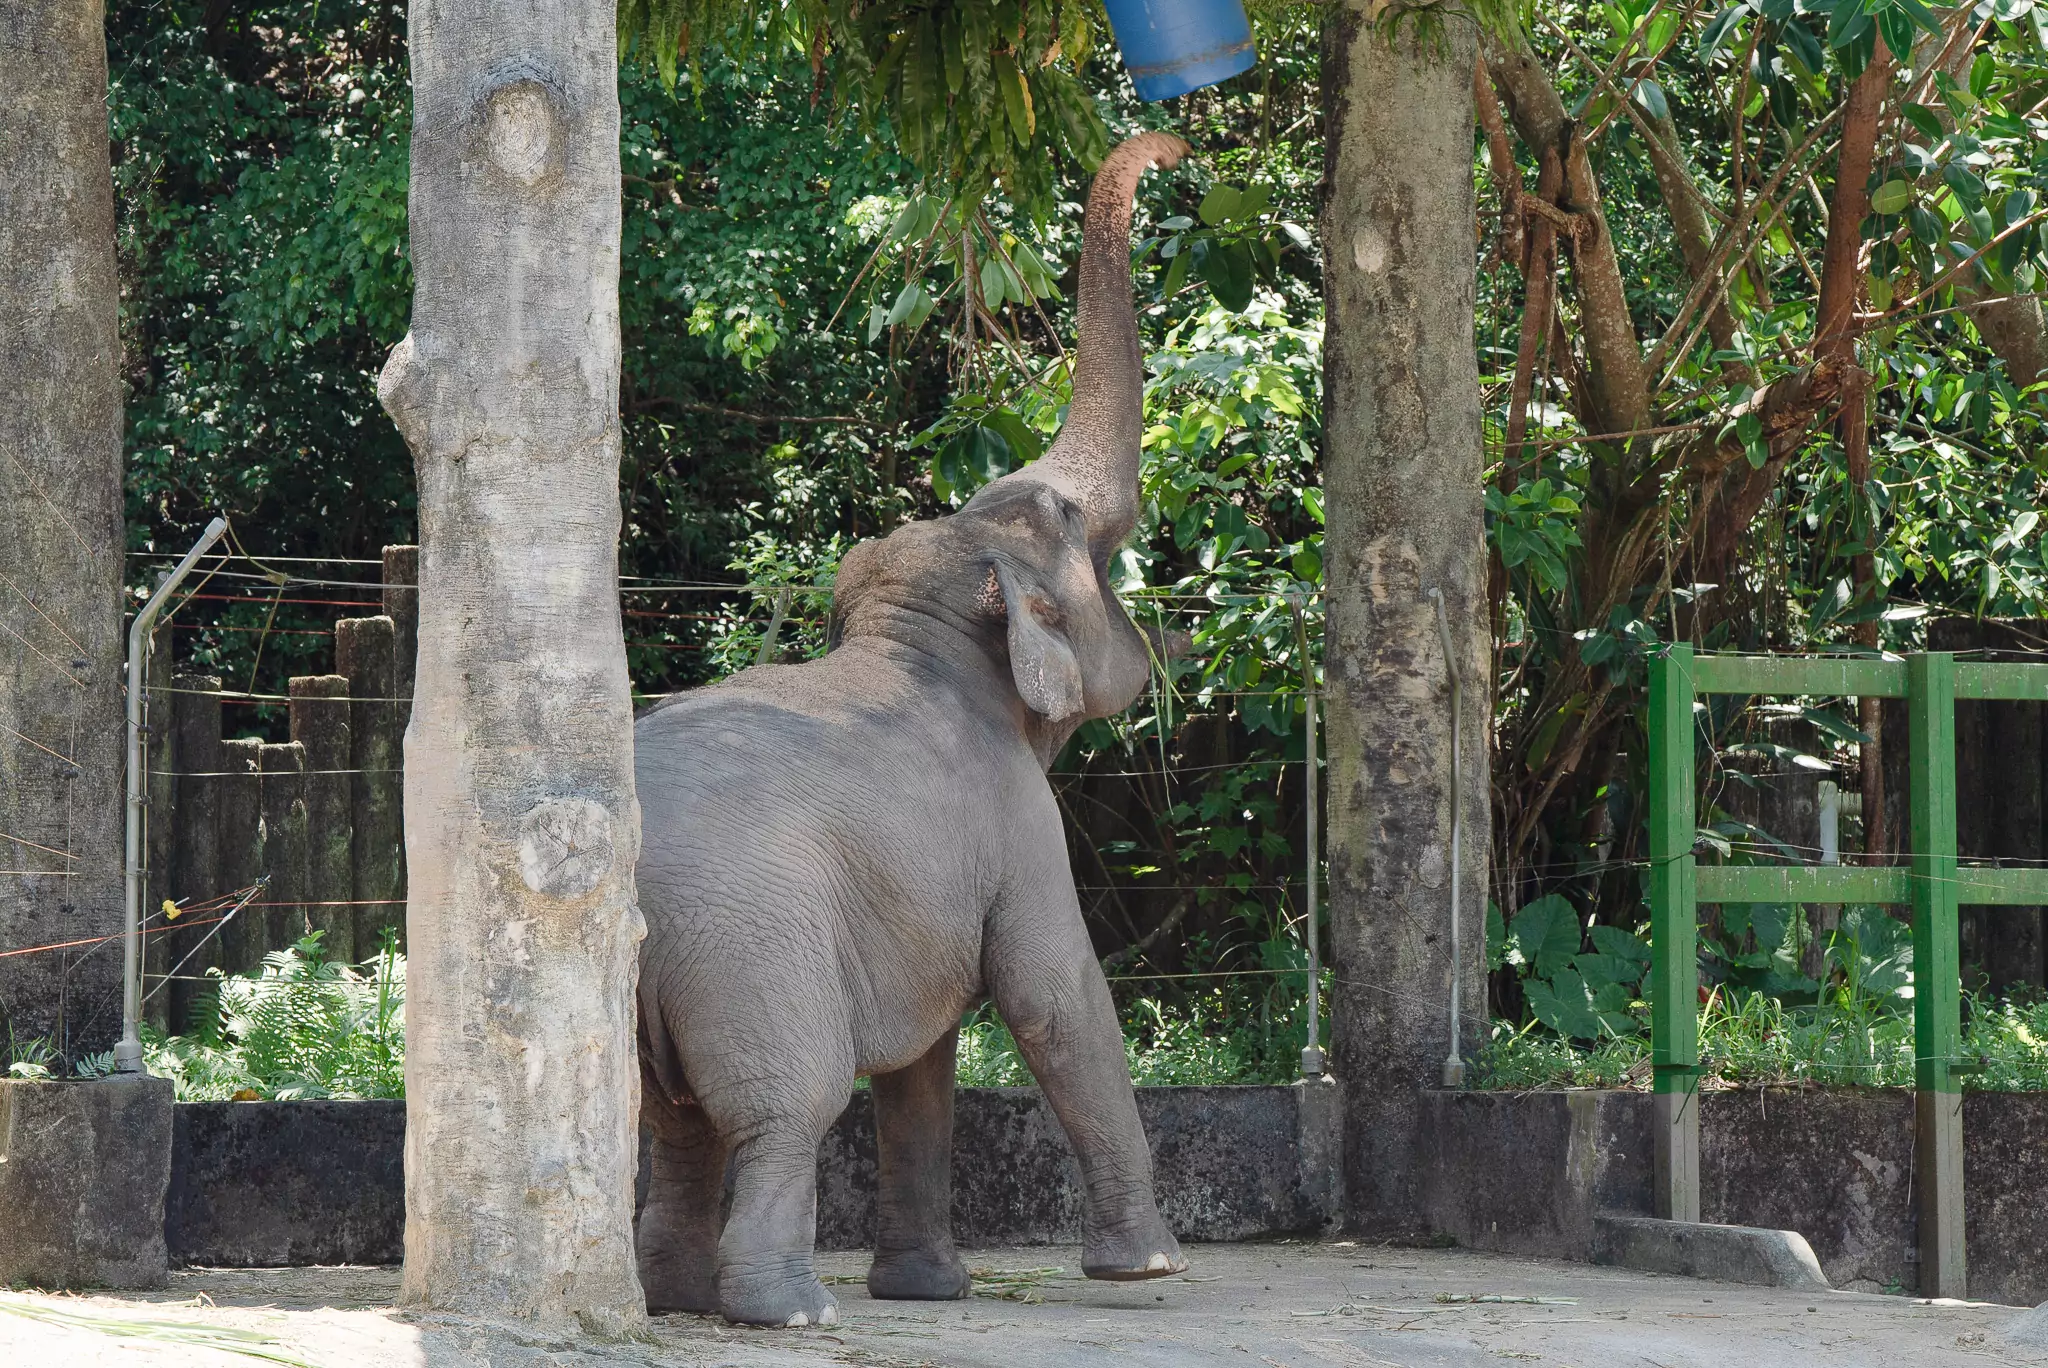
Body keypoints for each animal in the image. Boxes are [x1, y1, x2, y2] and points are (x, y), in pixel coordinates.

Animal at [632, 131, 1193, 1329]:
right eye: (1075, 525)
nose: (1177, 142)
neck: (921, 632)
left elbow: (927, 1055)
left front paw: (930, 1289)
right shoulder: (1017, 828)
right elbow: (1055, 995)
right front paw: (1151, 1270)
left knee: (672, 1118)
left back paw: (677, 1300)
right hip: (755, 951)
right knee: (782, 1107)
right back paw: (790, 1310)